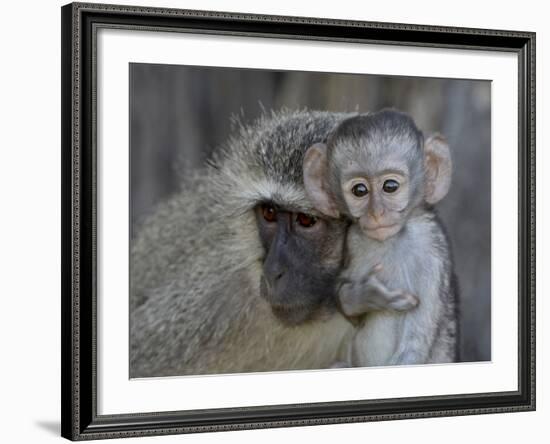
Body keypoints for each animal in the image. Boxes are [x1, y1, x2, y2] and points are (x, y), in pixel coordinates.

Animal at [304, 109, 460, 366]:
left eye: (390, 186)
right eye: (359, 190)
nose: (376, 213)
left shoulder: (430, 248)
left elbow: (415, 344)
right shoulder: (352, 241)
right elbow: (340, 290)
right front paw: (367, 296)